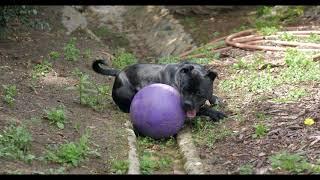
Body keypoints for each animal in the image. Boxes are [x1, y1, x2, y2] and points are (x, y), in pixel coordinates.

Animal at [92, 60, 226, 121]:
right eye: (183, 90)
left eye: (199, 93)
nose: (187, 104)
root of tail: (119, 72)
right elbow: (203, 109)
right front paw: (216, 113)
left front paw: (214, 99)